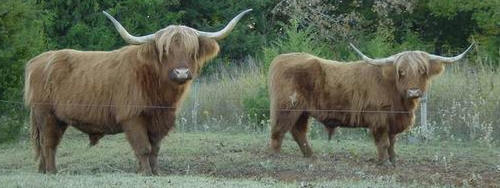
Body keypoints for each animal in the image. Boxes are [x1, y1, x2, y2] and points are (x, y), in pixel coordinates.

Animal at [23, 9, 252, 175]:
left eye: (192, 50)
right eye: (165, 51)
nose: (181, 72)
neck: (159, 93)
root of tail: (38, 60)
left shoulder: (160, 120)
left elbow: (155, 149)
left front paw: (155, 172)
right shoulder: (132, 117)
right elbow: (143, 148)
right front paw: (146, 173)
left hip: (57, 118)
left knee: (47, 144)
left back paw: (43, 171)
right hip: (45, 114)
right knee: (48, 143)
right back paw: (52, 172)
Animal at [270, 43, 472, 166]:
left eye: (422, 71)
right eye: (401, 72)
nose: (414, 92)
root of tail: (280, 59)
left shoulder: (392, 121)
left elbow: (392, 143)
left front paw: (393, 160)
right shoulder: (379, 119)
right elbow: (383, 142)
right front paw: (384, 162)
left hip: (302, 111)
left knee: (298, 131)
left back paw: (310, 155)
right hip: (286, 107)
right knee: (279, 130)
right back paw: (275, 156)